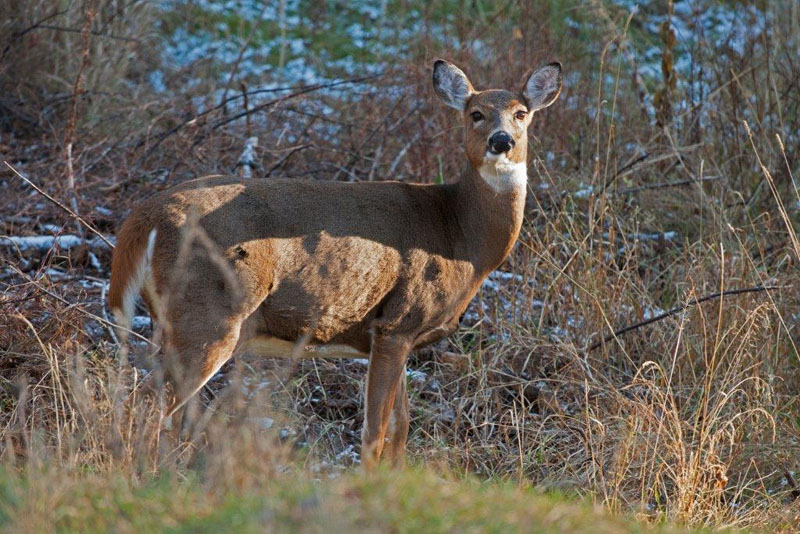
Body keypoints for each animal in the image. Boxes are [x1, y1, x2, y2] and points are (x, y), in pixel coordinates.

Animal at [108, 59, 562, 469]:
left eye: (521, 113)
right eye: (475, 113)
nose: (502, 141)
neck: (460, 235)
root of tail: (141, 218)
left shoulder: (392, 335)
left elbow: (401, 427)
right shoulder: (398, 322)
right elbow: (375, 431)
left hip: (174, 318)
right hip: (209, 313)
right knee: (151, 402)